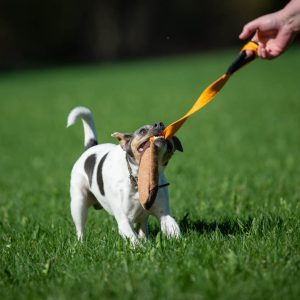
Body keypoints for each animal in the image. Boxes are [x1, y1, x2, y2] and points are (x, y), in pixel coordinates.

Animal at [67, 106, 183, 243]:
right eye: (142, 131)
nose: (160, 124)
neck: (141, 178)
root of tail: (90, 148)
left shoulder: (163, 213)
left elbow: (173, 228)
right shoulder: (124, 221)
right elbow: (134, 240)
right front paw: (141, 247)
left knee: (143, 225)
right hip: (78, 203)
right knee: (80, 228)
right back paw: (81, 243)